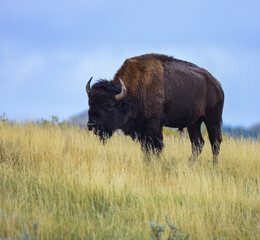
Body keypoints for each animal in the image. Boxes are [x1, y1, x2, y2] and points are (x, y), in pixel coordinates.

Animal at [86, 53, 224, 165]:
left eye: (109, 105)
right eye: (90, 103)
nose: (91, 124)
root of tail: (217, 84)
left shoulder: (154, 126)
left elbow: (155, 147)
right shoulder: (142, 130)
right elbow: (146, 148)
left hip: (212, 119)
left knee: (215, 142)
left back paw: (214, 166)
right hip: (194, 123)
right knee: (198, 143)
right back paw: (190, 164)